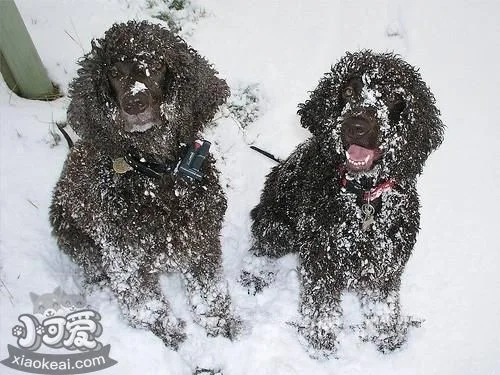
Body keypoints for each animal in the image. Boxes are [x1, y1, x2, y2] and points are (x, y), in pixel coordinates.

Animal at [49, 21, 239, 350]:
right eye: (114, 72)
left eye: (159, 65)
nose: (134, 102)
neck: (156, 173)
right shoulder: (126, 260)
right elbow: (148, 308)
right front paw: (174, 340)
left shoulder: (201, 240)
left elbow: (209, 291)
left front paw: (221, 325)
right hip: (69, 232)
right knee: (91, 265)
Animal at [252, 50, 444, 358]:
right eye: (348, 91)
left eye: (392, 97)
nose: (356, 126)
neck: (362, 195)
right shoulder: (321, 261)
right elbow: (323, 308)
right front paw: (321, 347)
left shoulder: (386, 265)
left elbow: (383, 308)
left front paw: (388, 340)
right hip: (277, 227)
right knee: (260, 251)